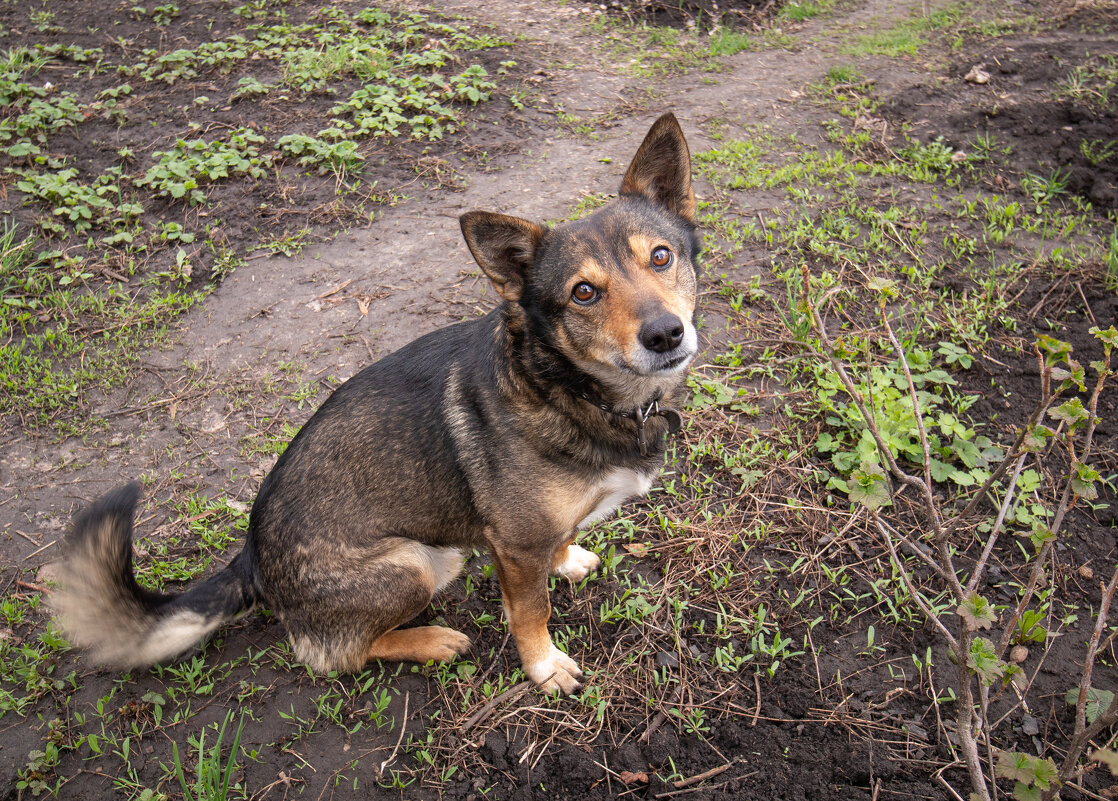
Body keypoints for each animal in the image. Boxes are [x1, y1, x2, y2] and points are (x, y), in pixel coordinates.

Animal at [54, 112, 697, 693]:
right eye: (583, 293)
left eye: (661, 256)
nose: (666, 334)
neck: (569, 388)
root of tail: (252, 558)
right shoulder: (513, 549)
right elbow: (530, 611)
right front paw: (544, 668)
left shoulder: (529, 535)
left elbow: (559, 540)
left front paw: (567, 559)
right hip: (416, 563)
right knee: (333, 654)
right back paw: (432, 640)